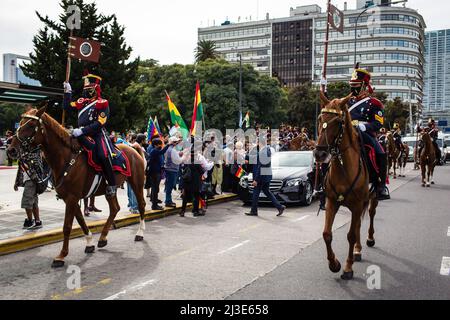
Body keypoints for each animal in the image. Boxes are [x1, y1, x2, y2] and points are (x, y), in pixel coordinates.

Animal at [6, 107, 146, 268]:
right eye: (20, 122)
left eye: (30, 125)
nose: (11, 150)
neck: (65, 158)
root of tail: (134, 149)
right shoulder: (70, 199)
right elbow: (80, 220)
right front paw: (89, 243)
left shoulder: (72, 198)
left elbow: (67, 227)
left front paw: (61, 256)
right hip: (110, 190)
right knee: (115, 208)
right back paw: (102, 238)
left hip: (136, 183)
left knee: (141, 204)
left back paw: (140, 233)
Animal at [312, 92, 380, 280]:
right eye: (320, 118)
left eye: (338, 122)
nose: (319, 154)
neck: (343, 167)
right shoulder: (332, 202)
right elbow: (327, 234)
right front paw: (334, 264)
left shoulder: (357, 205)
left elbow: (350, 236)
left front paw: (348, 268)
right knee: (357, 225)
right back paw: (357, 250)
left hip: (372, 197)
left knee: (371, 214)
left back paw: (369, 239)